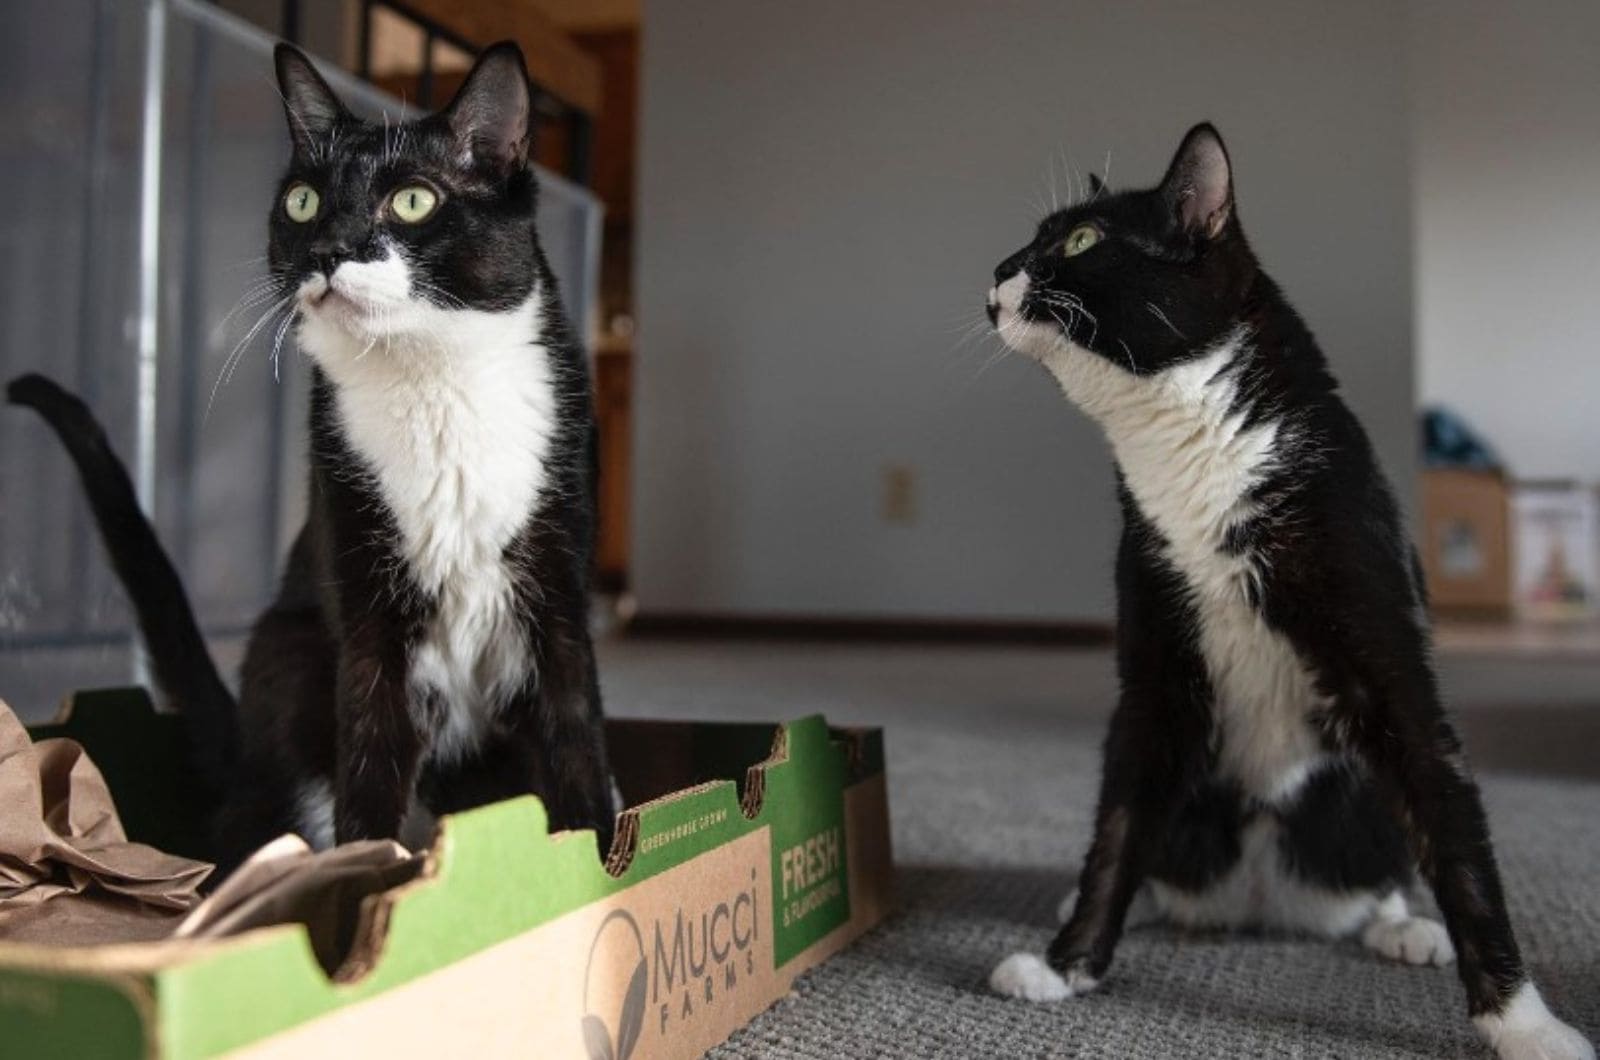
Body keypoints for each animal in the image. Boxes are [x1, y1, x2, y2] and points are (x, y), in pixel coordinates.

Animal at [6, 41, 614, 877]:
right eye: (302, 202)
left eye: (413, 201)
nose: (328, 249)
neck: (432, 380)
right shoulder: (363, 601)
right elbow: (372, 757)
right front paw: (372, 881)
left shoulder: (558, 588)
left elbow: (575, 735)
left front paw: (606, 860)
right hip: (292, 669)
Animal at [979, 122, 1593, 1060]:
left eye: (1079, 240)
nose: (998, 270)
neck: (1192, 451)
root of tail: (1263, 901)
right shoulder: (1154, 667)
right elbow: (1117, 829)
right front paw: (1068, 965)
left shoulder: (1389, 660)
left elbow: (1453, 828)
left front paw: (1526, 1025)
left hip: (1355, 802)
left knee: (1387, 858)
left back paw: (1403, 926)